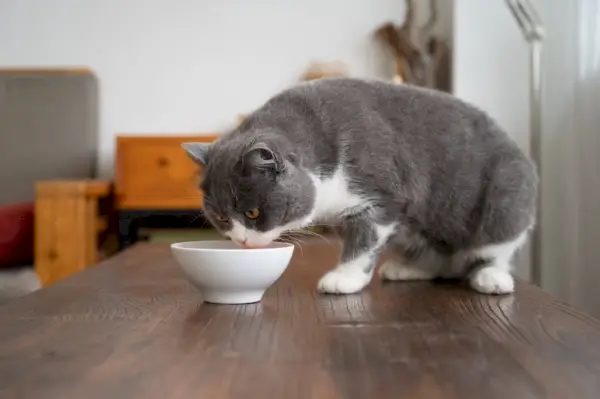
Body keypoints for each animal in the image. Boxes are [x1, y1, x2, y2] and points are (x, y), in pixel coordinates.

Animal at [184, 79, 540, 296]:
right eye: (221, 218)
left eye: (253, 213)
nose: (242, 241)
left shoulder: (380, 196)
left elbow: (363, 242)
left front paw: (343, 278)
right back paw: (409, 269)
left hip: (505, 198)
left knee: (495, 248)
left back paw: (491, 277)